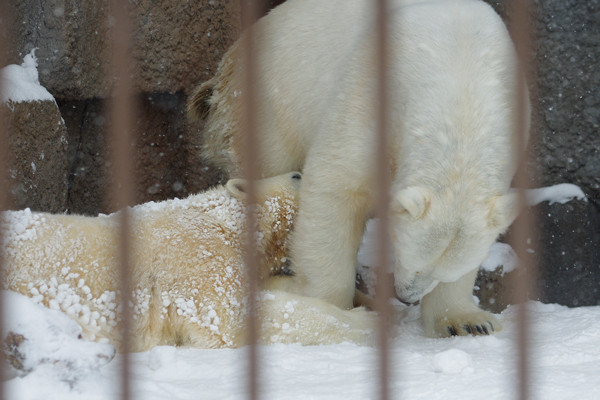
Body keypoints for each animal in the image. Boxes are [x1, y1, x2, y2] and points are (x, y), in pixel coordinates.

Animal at [189, 0, 528, 338]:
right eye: (408, 256)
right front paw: (332, 308)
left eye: (442, 272)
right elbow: (335, 189)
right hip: (268, 108)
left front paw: (467, 322)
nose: (407, 296)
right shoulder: (370, 94)